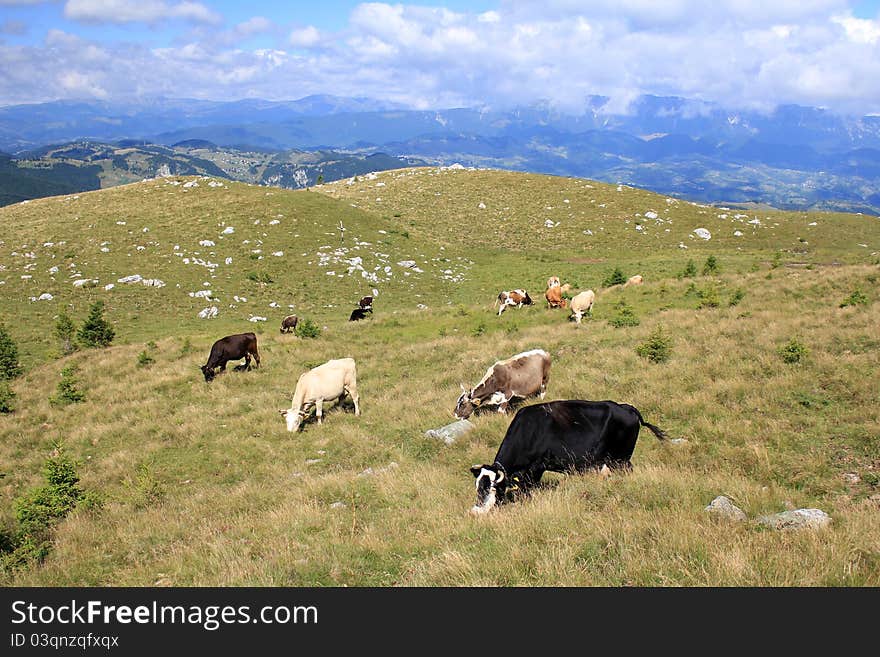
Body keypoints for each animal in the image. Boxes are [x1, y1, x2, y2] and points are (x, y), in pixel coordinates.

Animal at [468, 400, 668, 512]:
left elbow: (528, 490)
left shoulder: (536, 468)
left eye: (493, 488)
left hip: (621, 459)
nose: (476, 512)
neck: (529, 430)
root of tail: (627, 408)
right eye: (477, 487)